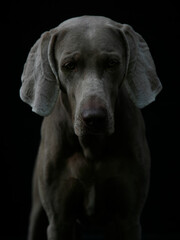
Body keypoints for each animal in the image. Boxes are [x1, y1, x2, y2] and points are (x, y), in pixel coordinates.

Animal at [19, 15, 162, 239]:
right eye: (69, 65)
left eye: (112, 63)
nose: (94, 118)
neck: (92, 148)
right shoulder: (59, 221)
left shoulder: (129, 219)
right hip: (37, 213)